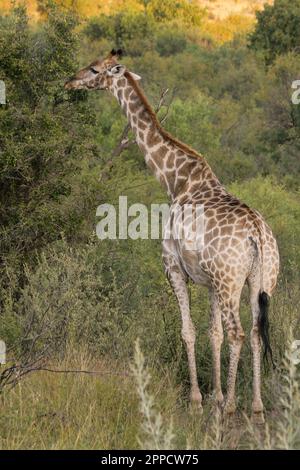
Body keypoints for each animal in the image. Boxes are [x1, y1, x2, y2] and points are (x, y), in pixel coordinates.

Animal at [65, 50, 278, 422]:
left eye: (93, 69)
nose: (70, 81)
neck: (175, 180)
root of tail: (257, 235)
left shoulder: (173, 267)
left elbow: (189, 331)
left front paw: (199, 402)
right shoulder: (208, 281)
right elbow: (213, 334)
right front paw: (215, 398)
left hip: (230, 281)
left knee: (239, 332)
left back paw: (233, 407)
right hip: (261, 280)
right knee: (254, 332)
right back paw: (256, 408)